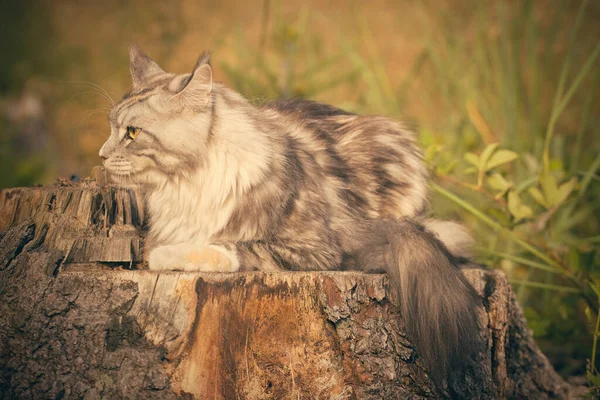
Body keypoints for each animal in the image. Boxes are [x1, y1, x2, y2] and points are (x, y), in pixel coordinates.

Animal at [99, 44, 482, 390]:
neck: (185, 184)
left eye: (132, 132)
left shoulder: (315, 249)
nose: (102, 155)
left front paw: (169, 253)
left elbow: (233, 247)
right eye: (111, 128)